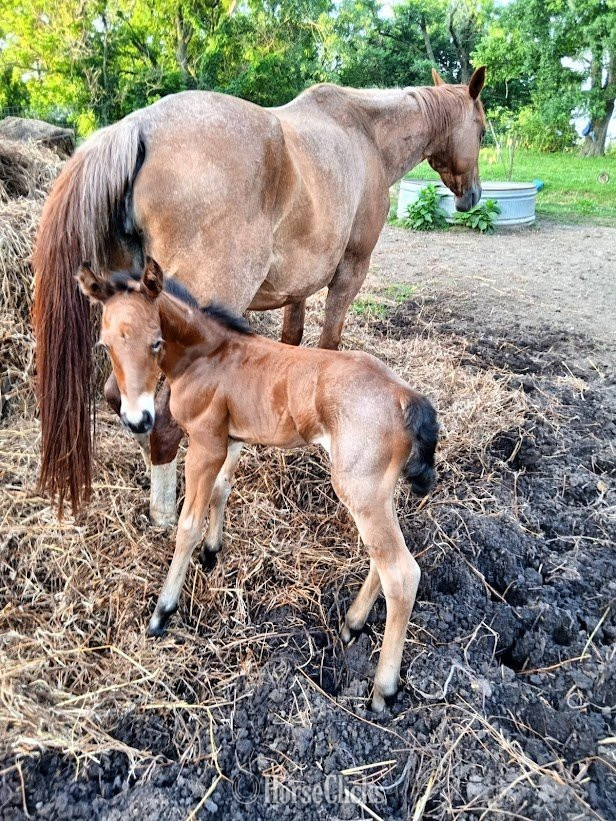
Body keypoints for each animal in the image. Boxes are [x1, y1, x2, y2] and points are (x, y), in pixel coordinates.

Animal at [33, 67, 485, 520]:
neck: (365, 133)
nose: (473, 197)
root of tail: (136, 127)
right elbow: (330, 342)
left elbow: (293, 342)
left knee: (121, 399)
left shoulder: (297, 288)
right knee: (162, 423)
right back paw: (166, 509)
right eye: (481, 131)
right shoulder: (350, 272)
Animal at [76, 258, 439, 712]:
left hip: (359, 488)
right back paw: (352, 624)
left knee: (402, 573)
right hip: (374, 492)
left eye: (156, 342)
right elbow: (222, 489)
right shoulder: (231, 439)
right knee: (385, 556)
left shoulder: (205, 444)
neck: (208, 355)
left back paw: (382, 690)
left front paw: (163, 611)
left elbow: (187, 524)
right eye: (105, 345)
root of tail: (406, 396)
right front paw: (213, 552)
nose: (138, 420)